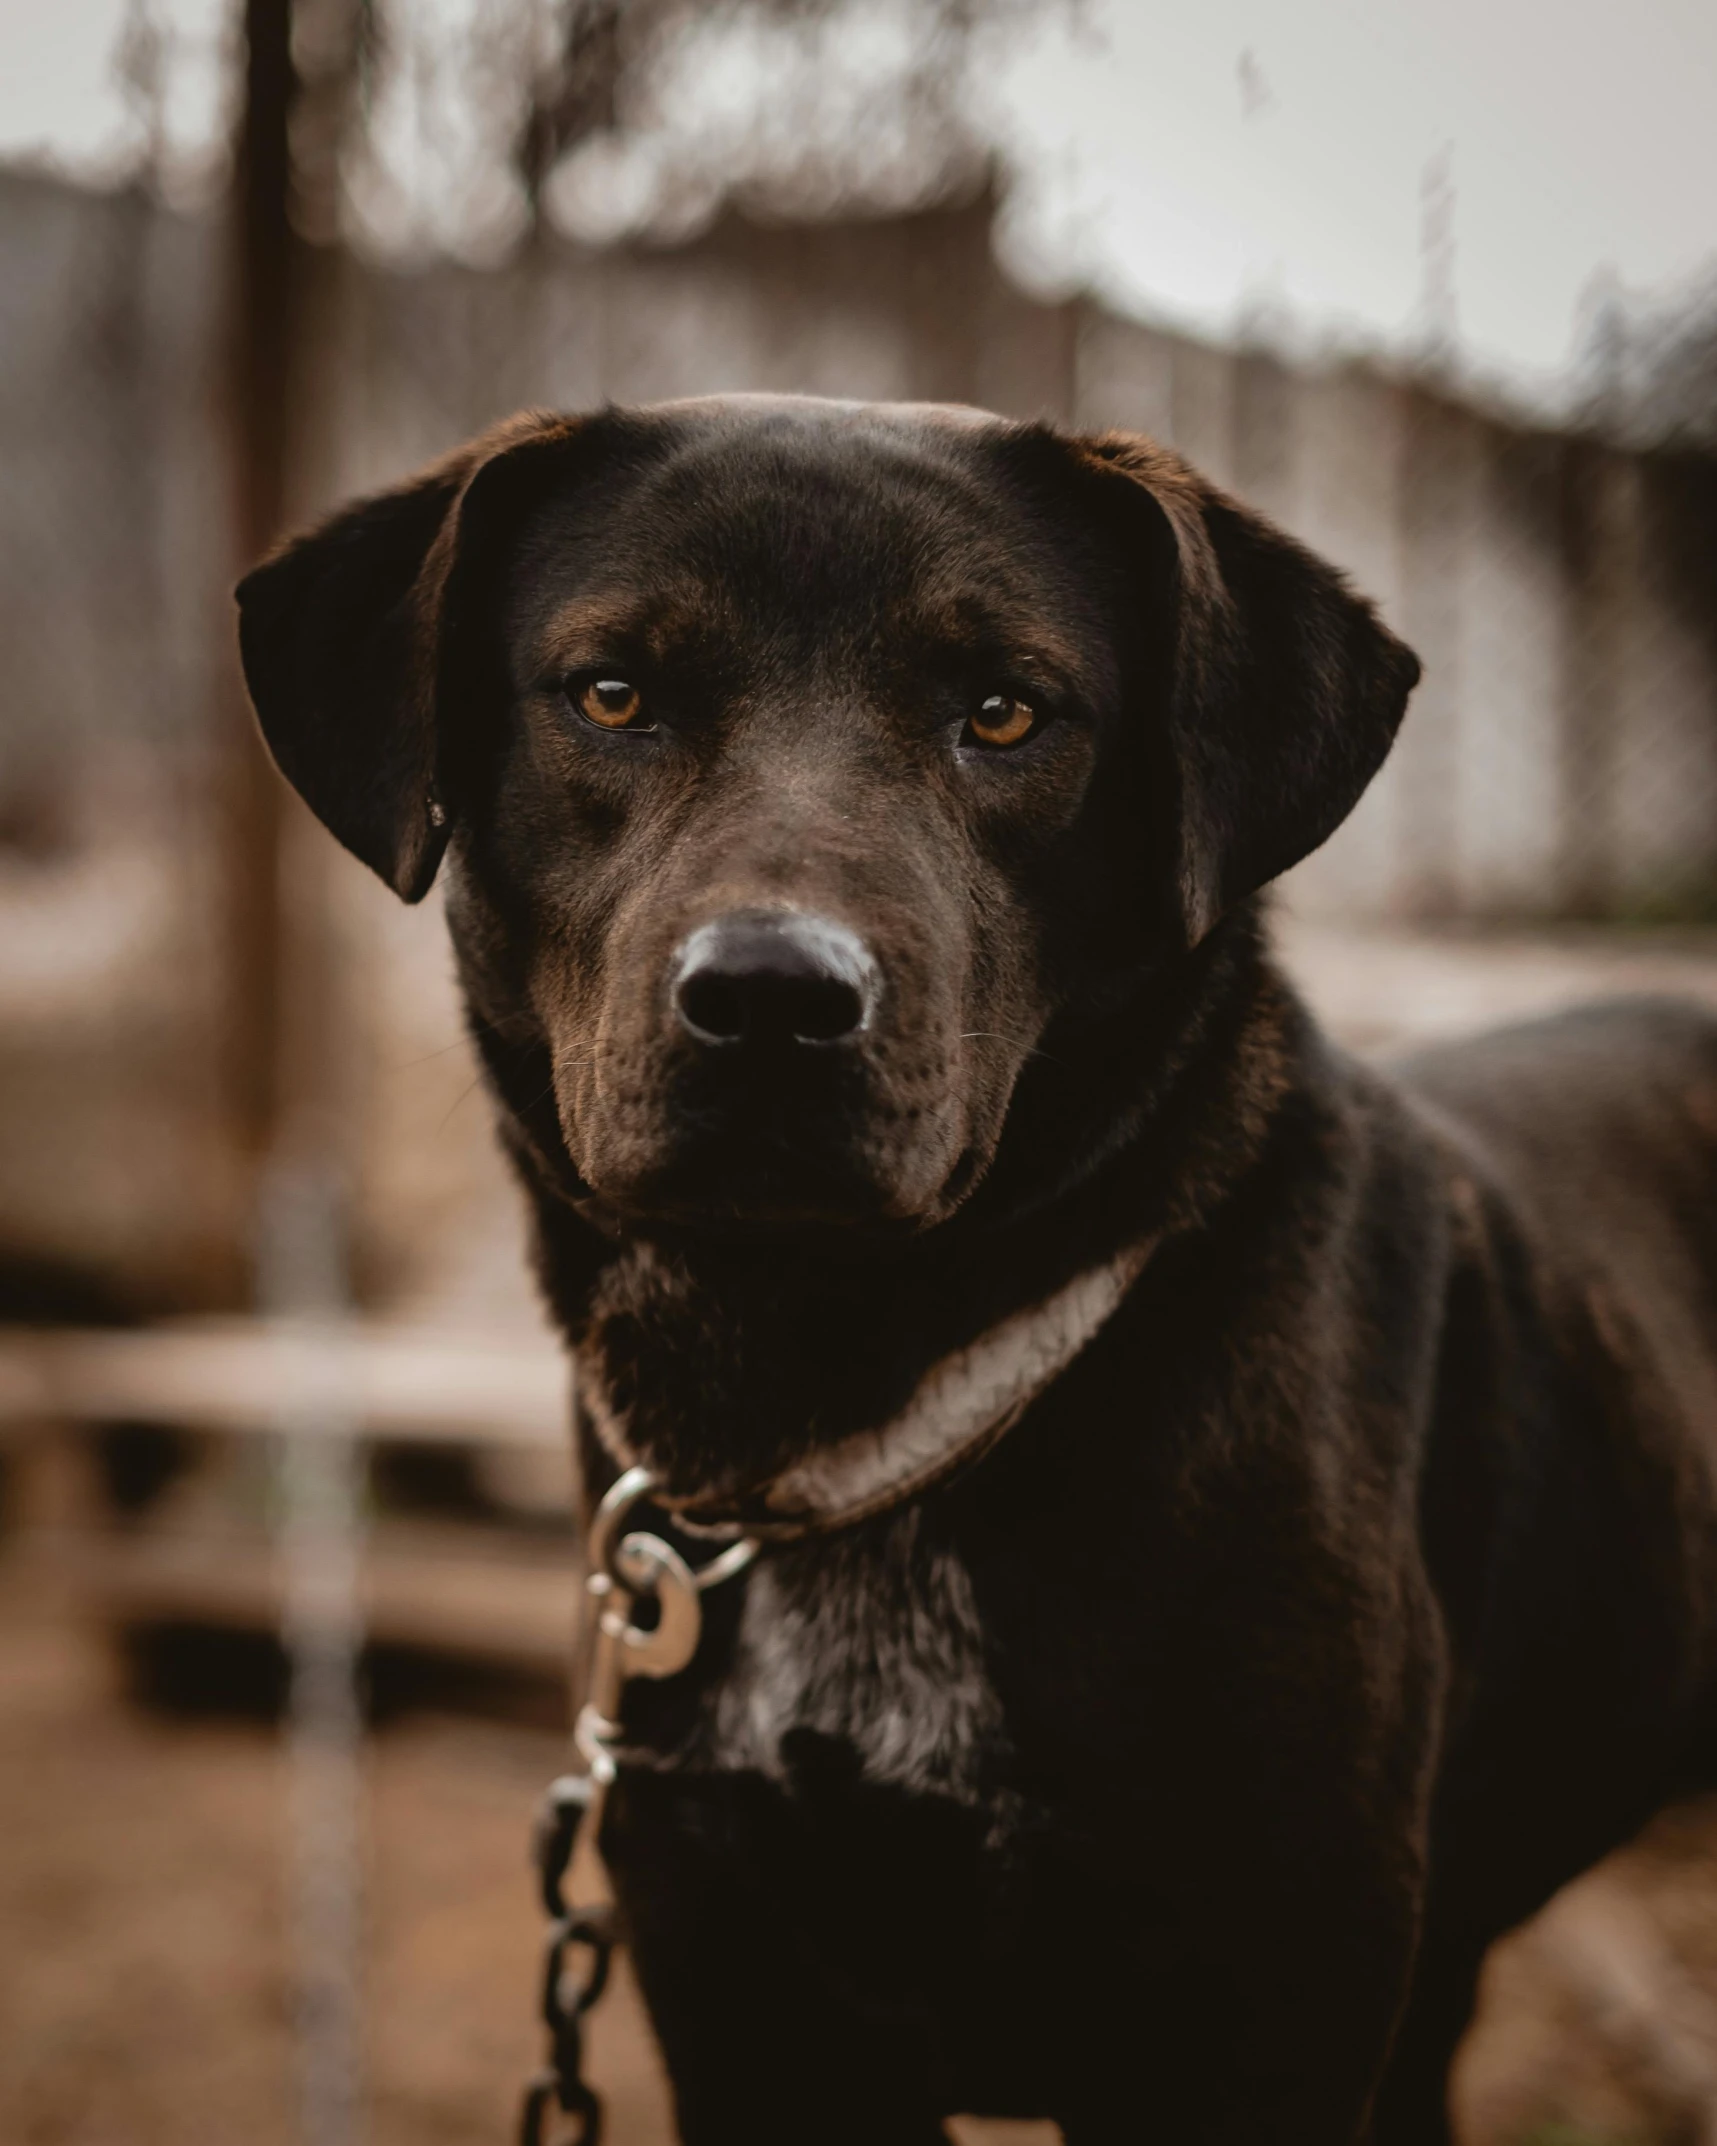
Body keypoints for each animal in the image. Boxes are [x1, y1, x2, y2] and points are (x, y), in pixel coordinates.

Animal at [235, 394, 1717, 2137]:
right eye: (610, 693)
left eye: (1005, 711)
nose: (771, 1000)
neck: (838, 1387)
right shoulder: (744, 1985)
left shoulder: (1258, 1989)